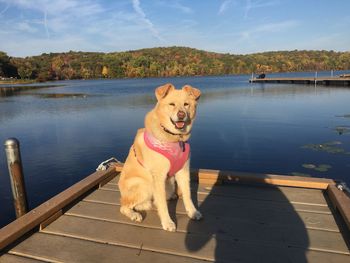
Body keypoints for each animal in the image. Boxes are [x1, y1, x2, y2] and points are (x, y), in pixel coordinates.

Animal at [119, 83, 202, 232]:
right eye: (172, 104)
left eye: (186, 104)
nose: (181, 114)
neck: (175, 139)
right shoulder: (158, 176)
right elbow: (162, 204)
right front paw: (167, 222)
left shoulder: (183, 172)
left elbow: (187, 195)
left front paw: (193, 212)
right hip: (144, 185)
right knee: (124, 206)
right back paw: (134, 214)